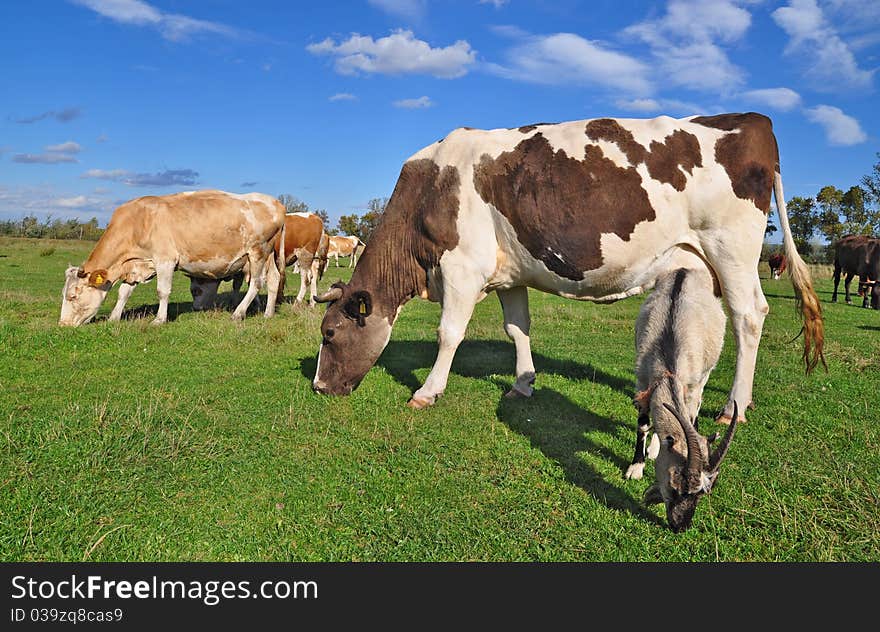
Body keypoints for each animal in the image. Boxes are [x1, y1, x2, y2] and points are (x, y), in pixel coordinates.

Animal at [59, 189, 286, 326]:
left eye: (72, 296)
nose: (63, 325)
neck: (137, 222)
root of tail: (275, 203)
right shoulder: (137, 265)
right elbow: (124, 292)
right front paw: (114, 317)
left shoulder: (165, 260)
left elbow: (162, 291)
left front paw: (159, 319)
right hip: (269, 256)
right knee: (273, 280)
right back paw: (268, 313)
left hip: (257, 252)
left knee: (256, 283)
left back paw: (238, 313)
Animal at [312, 112, 824, 424]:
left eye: (330, 334)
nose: (318, 387)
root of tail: (751, 120)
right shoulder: (509, 273)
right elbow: (517, 329)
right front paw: (523, 384)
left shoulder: (463, 267)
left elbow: (449, 334)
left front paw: (428, 390)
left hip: (732, 251)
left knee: (749, 317)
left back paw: (735, 405)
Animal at [624, 266, 740, 532]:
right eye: (676, 485)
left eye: (702, 494)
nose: (681, 527)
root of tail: (686, 270)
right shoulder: (642, 380)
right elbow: (643, 424)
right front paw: (636, 466)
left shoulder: (692, 385)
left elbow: (691, 415)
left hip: (705, 373)